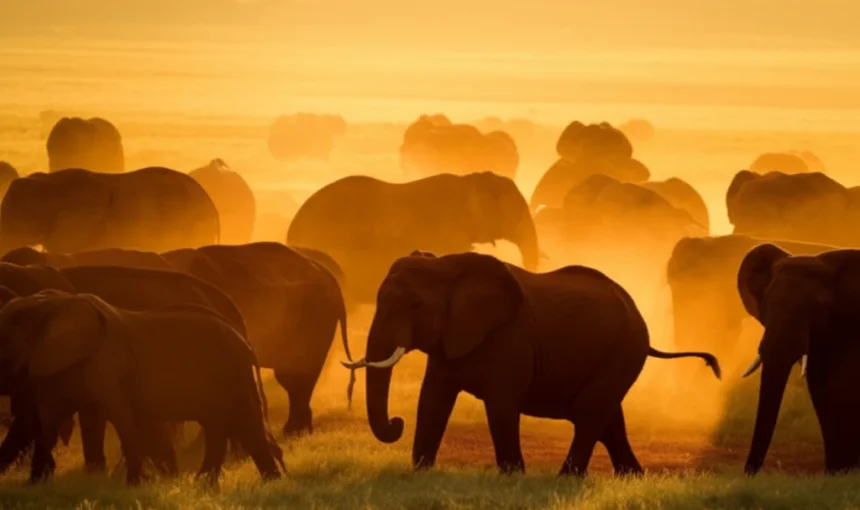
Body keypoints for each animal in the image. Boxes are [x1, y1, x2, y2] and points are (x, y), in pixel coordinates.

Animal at [0, 290, 282, 484]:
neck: (54, 304)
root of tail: (245, 341)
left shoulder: (106, 363)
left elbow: (120, 415)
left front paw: (135, 484)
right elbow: (48, 420)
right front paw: (34, 485)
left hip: (231, 373)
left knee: (234, 425)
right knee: (241, 427)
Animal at [343, 252, 720, 475]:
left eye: (415, 306)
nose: (396, 422)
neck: (449, 266)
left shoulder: (511, 341)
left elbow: (501, 407)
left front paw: (513, 477)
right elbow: (432, 402)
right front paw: (421, 472)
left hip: (625, 348)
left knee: (590, 411)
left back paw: (566, 479)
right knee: (609, 418)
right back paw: (632, 477)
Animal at [736, 244, 860, 475]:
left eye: (819, 307)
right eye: (767, 303)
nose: (748, 474)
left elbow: (841, 386)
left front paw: (844, 473)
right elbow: (820, 388)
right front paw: (836, 473)